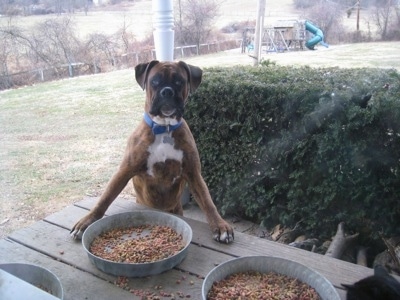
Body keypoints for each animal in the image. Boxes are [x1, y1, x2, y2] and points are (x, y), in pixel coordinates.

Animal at [71, 59, 234, 243]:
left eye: (179, 81)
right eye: (155, 81)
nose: (167, 91)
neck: (164, 128)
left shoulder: (193, 174)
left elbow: (208, 202)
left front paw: (220, 226)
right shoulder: (124, 170)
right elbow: (105, 198)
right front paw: (87, 221)